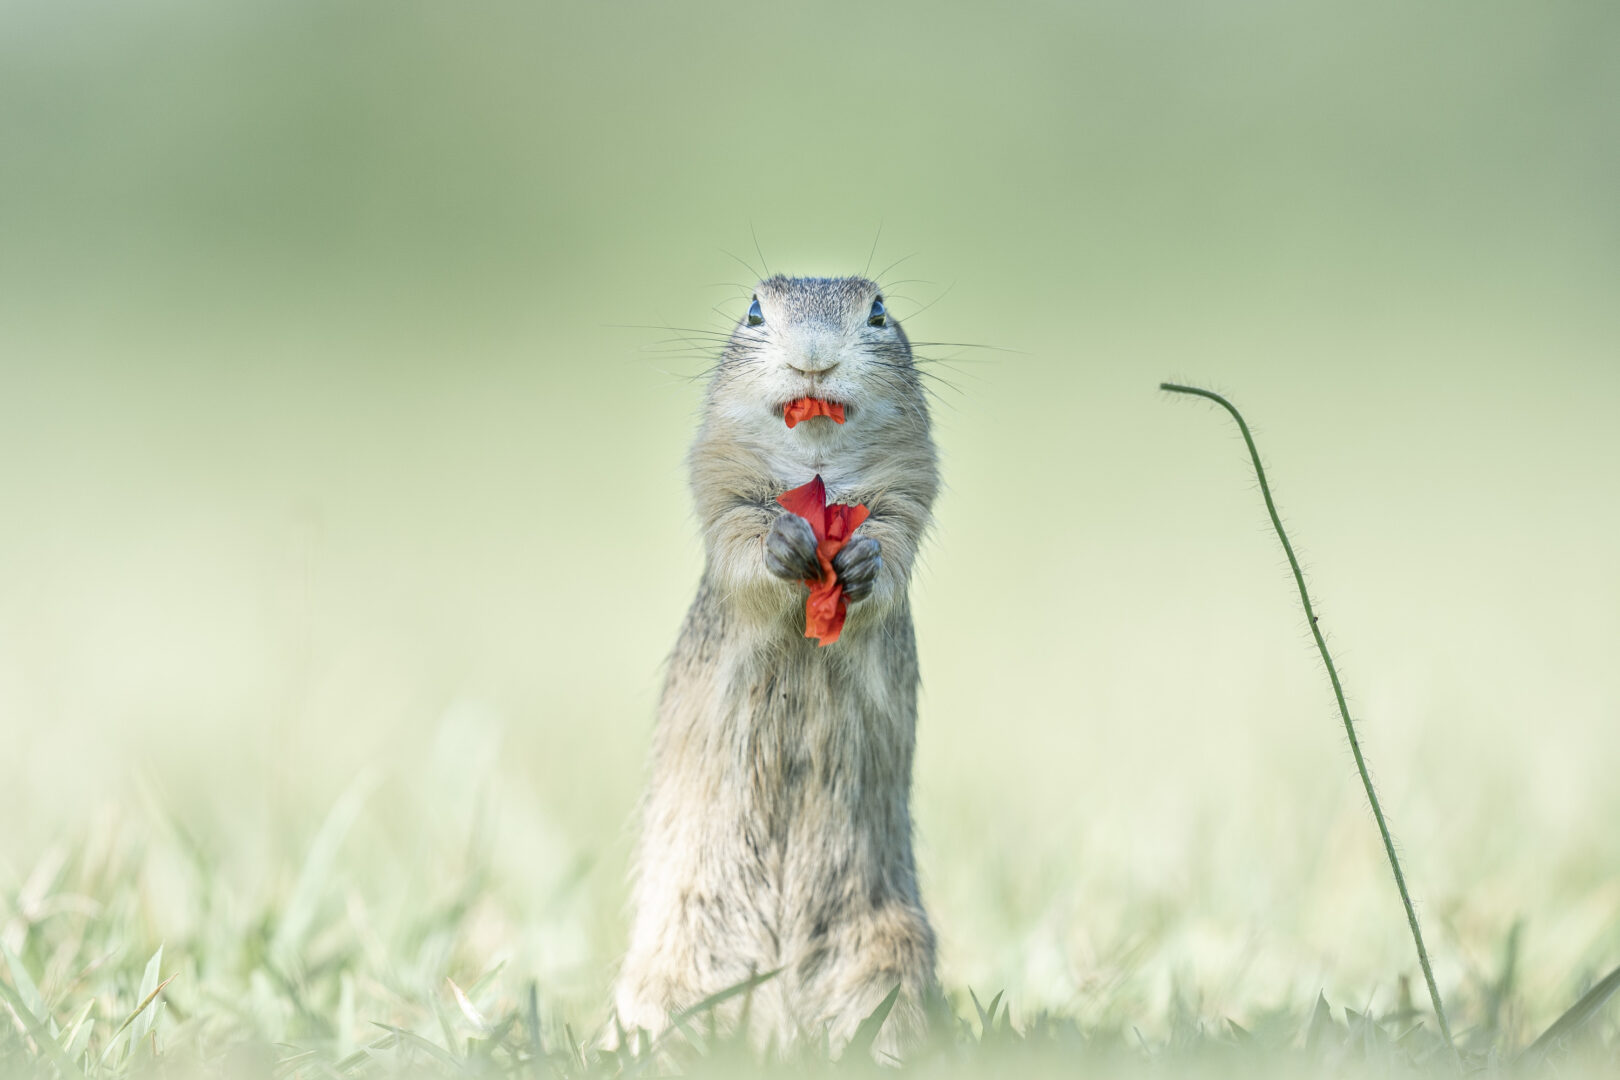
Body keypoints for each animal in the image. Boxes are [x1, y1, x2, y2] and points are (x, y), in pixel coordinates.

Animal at [613, 275, 942, 1058]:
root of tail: (778, 1029)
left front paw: (861, 560)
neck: (816, 471)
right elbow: (739, 534)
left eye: (877, 311)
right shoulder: (720, 477)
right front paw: (782, 543)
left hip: (886, 959)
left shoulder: (910, 486)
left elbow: (893, 538)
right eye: (756, 311)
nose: (813, 355)